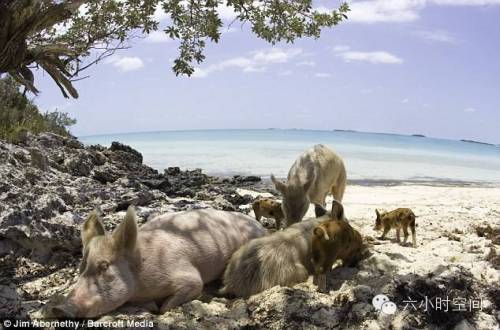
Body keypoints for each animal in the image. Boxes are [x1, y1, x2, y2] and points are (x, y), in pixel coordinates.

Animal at [51, 206, 266, 318]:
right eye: (81, 267)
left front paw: (156, 309)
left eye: (104, 266)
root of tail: (262, 227)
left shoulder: (187, 275)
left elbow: (172, 302)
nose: (59, 309)